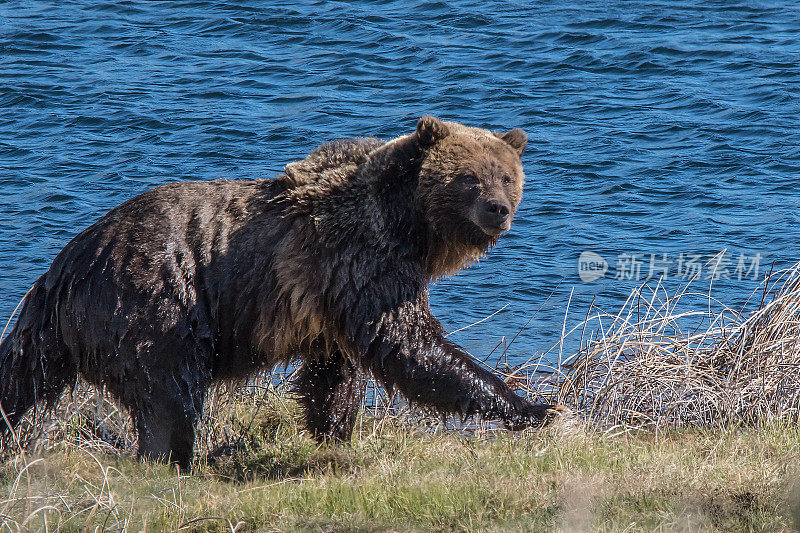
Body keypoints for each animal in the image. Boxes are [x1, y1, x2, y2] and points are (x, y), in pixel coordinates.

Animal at [0, 115, 564, 466]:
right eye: (469, 178)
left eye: (507, 177)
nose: (497, 209)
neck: (409, 228)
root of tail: (65, 266)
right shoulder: (359, 257)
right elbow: (409, 345)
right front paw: (534, 409)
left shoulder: (333, 294)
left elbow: (335, 374)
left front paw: (334, 434)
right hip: (154, 302)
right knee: (170, 394)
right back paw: (171, 459)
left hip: (67, 330)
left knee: (22, 378)